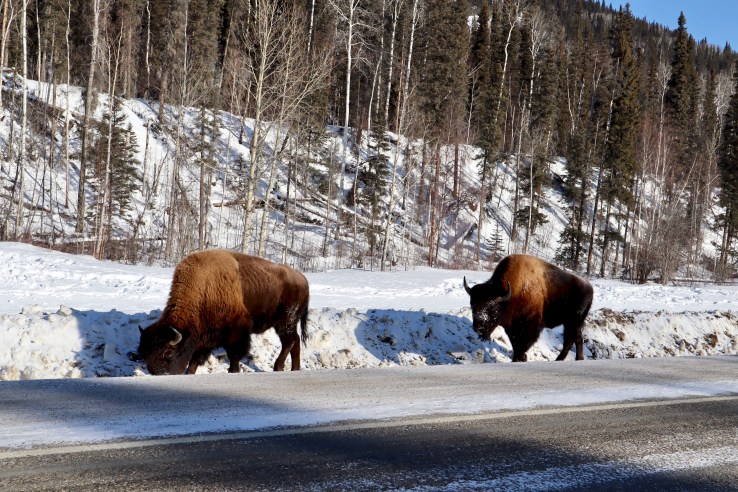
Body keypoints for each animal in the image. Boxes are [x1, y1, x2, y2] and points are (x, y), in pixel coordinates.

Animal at [138, 249, 310, 374]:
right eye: (145, 353)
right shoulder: (204, 334)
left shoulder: (237, 330)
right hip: (287, 323)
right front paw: (190, 372)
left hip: (285, 322)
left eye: (168, 354)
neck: (203, 288)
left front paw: (233, 370)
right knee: (295, 341)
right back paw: (295, 368)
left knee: (289, 341)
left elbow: (234, 353)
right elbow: (195, 358)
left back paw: (278, 367)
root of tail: (303, 279)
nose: (155, 372)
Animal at [464, 254, 593, 362]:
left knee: (574, 339)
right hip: (569, 323)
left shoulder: (529, 327)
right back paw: (564, 359)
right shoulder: (512, 329)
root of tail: (589, 287)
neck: (510, 295)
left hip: (574, 322)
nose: (478, 327)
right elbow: (516, 344)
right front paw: (522, 358)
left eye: (492, 308)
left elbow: (522, 345)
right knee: (572, 340)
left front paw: (519, 358)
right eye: (472, 306)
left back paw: (575, 359)